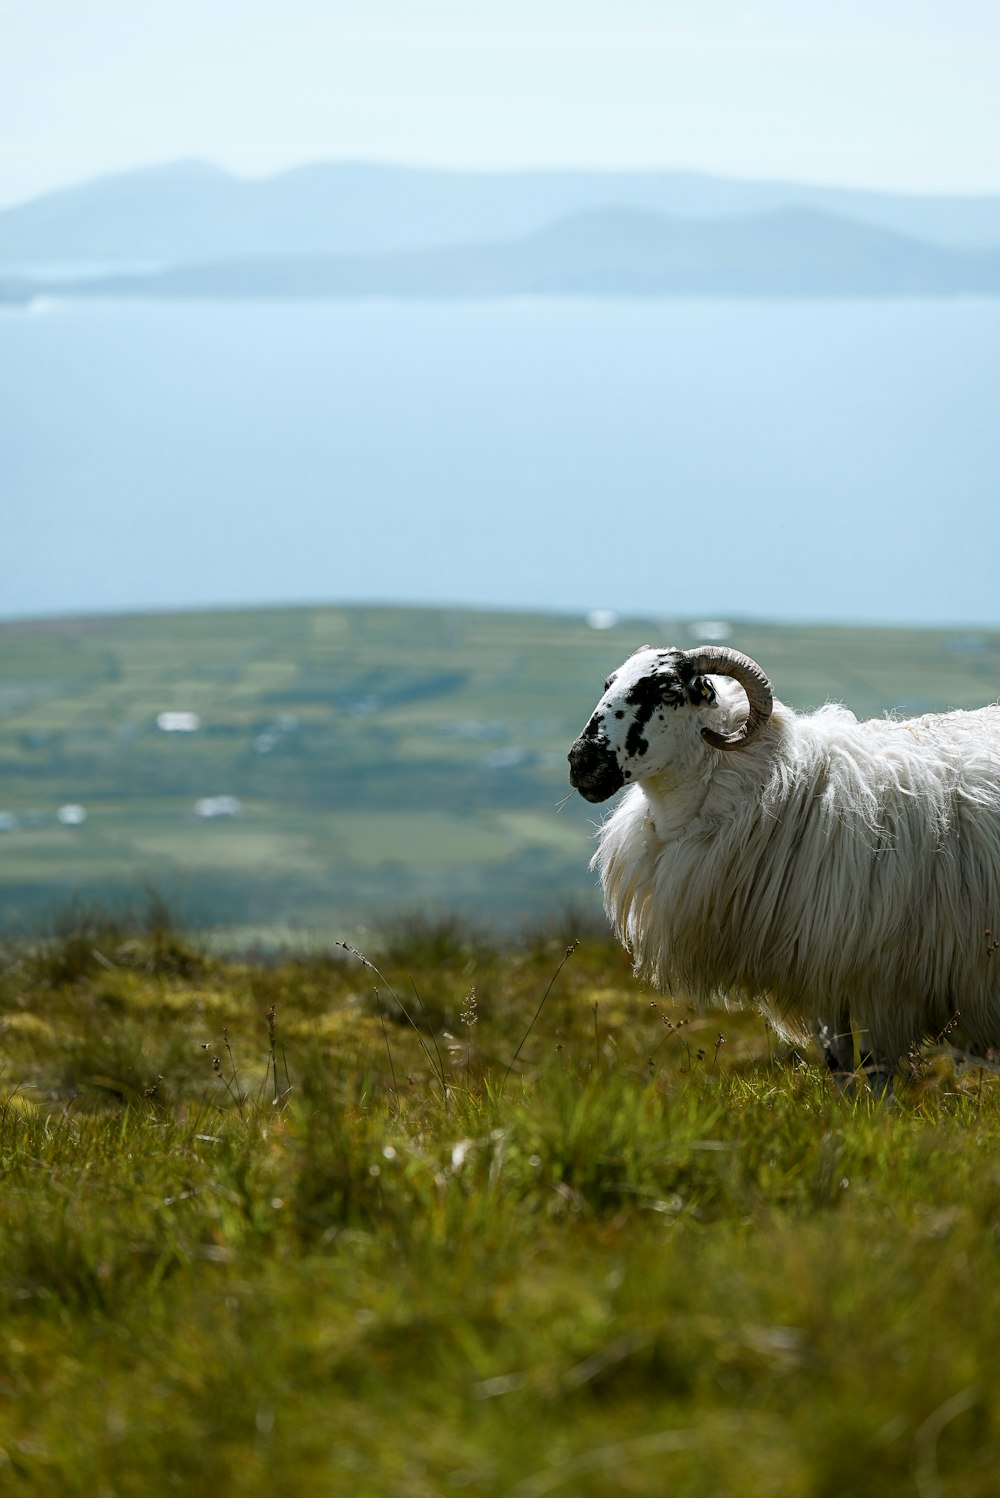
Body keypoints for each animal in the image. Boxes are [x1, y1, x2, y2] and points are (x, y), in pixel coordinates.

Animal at [565, 638, 999, 1096]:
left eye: (668, 693)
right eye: (608, 685)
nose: (581, 763)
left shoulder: (878, 979)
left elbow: (875, 1071)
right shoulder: (821, 973)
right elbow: (840, 1065)